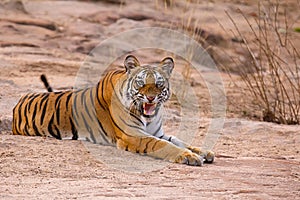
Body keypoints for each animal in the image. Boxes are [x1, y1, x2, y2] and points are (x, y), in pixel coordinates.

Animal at [11, 54, 213, 166]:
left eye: (158, 84)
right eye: (141, 83)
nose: (150, 98)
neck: (148, 117)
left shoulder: (158, 132)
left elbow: (180, 141)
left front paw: (204, 152)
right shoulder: (133, 135)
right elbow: (164, 145)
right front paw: (189, 157)